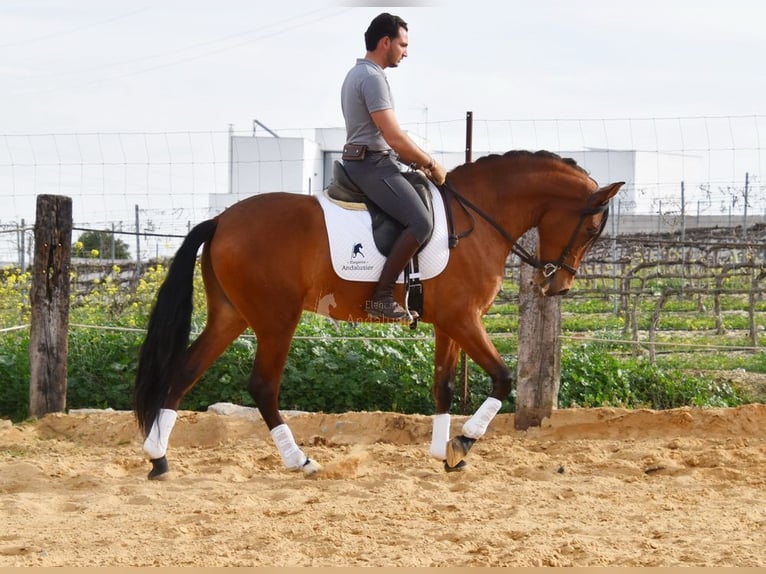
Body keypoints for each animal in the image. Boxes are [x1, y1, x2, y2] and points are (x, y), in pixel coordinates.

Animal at [133, 150, 623, 479]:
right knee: (262, 387)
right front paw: (463, 443)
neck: (478, 219)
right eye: (591, 227)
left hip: (231, 316)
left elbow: (443, 387)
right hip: (276, 320)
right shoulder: (465, 320)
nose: (557, 286)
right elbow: (502, 378)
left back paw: (159, 458)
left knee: (185, 373)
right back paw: (301, 461)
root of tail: (221, 220)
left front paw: (443, 453)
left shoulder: (449, 324)